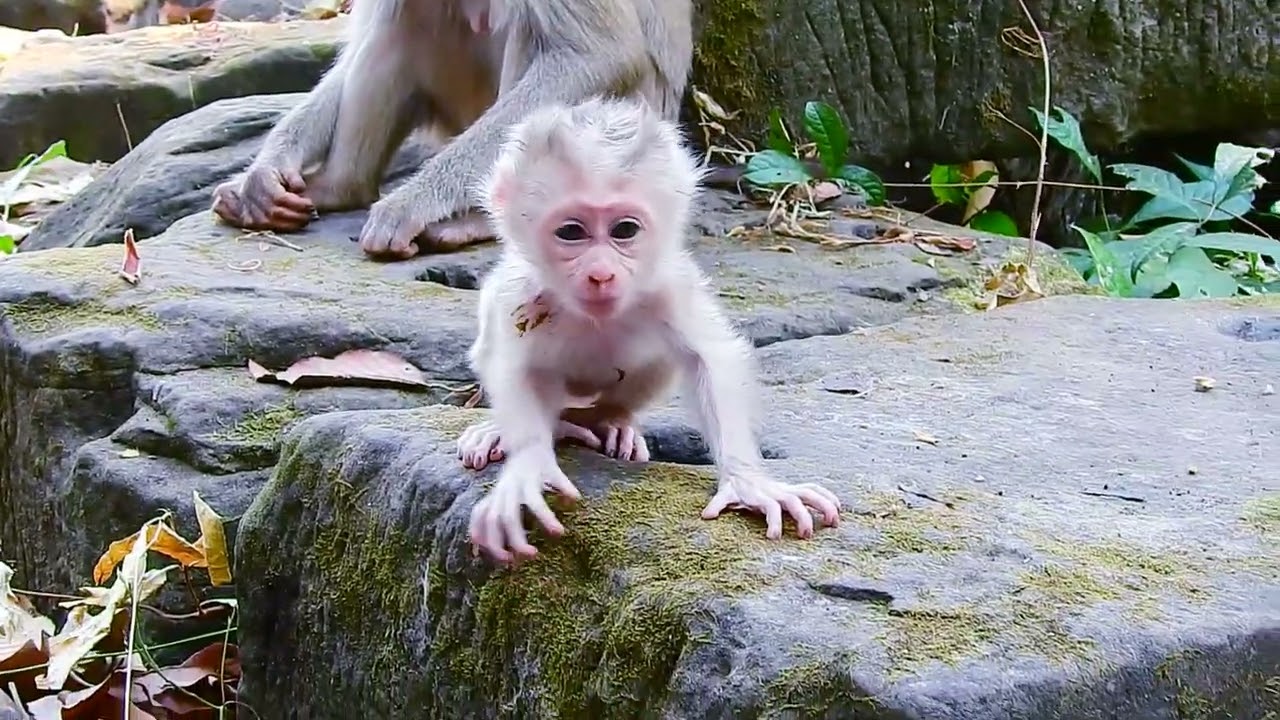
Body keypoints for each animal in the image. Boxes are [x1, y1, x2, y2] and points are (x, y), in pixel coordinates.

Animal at [208, 0, 693, 263]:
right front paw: (266, 170)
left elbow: (598, 54)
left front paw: (408, 205)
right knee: (404, 18)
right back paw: (341, 187)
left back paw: (478, 220)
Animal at [457, 97, 843, 565]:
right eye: (571, 232)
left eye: (625, 230)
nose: (601, 275)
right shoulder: (520, 292)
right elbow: (512, 368)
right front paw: (529, 464)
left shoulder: (668, 286)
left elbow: (710, 359)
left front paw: (750, 482)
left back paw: (611, 422)